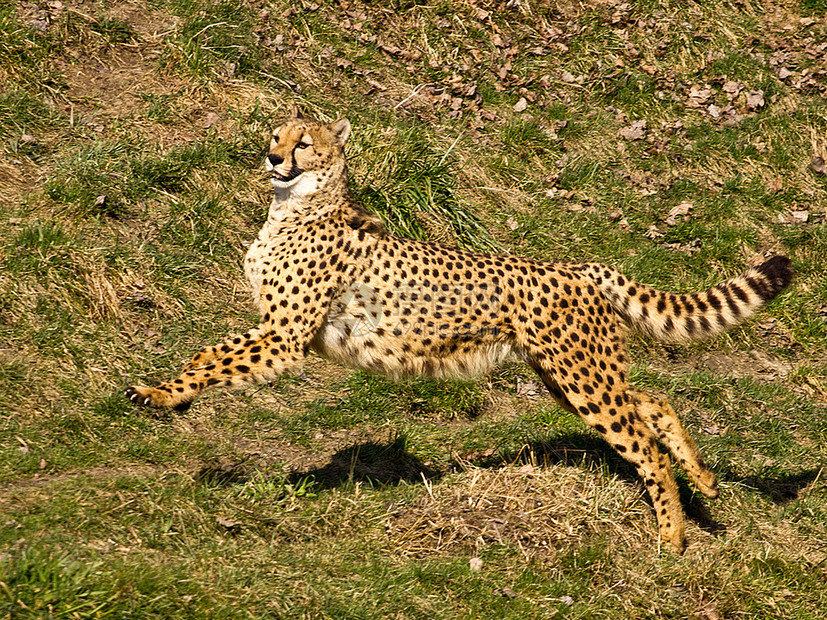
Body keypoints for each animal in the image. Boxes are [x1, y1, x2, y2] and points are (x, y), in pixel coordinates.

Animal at [126, 110, 792, 552]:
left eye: (304, 143)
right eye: (275, 136)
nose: (272, 159)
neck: (295, 205)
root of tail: (578, 265)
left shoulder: (285, 335)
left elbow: (211, 353)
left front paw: (160, 393)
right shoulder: (283, 332)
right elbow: (214, 352)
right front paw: (167, 396)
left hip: (581, 377)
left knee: (644, 444)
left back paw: (671, 538)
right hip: (568, 374)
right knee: (653, 404)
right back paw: (703, 478)